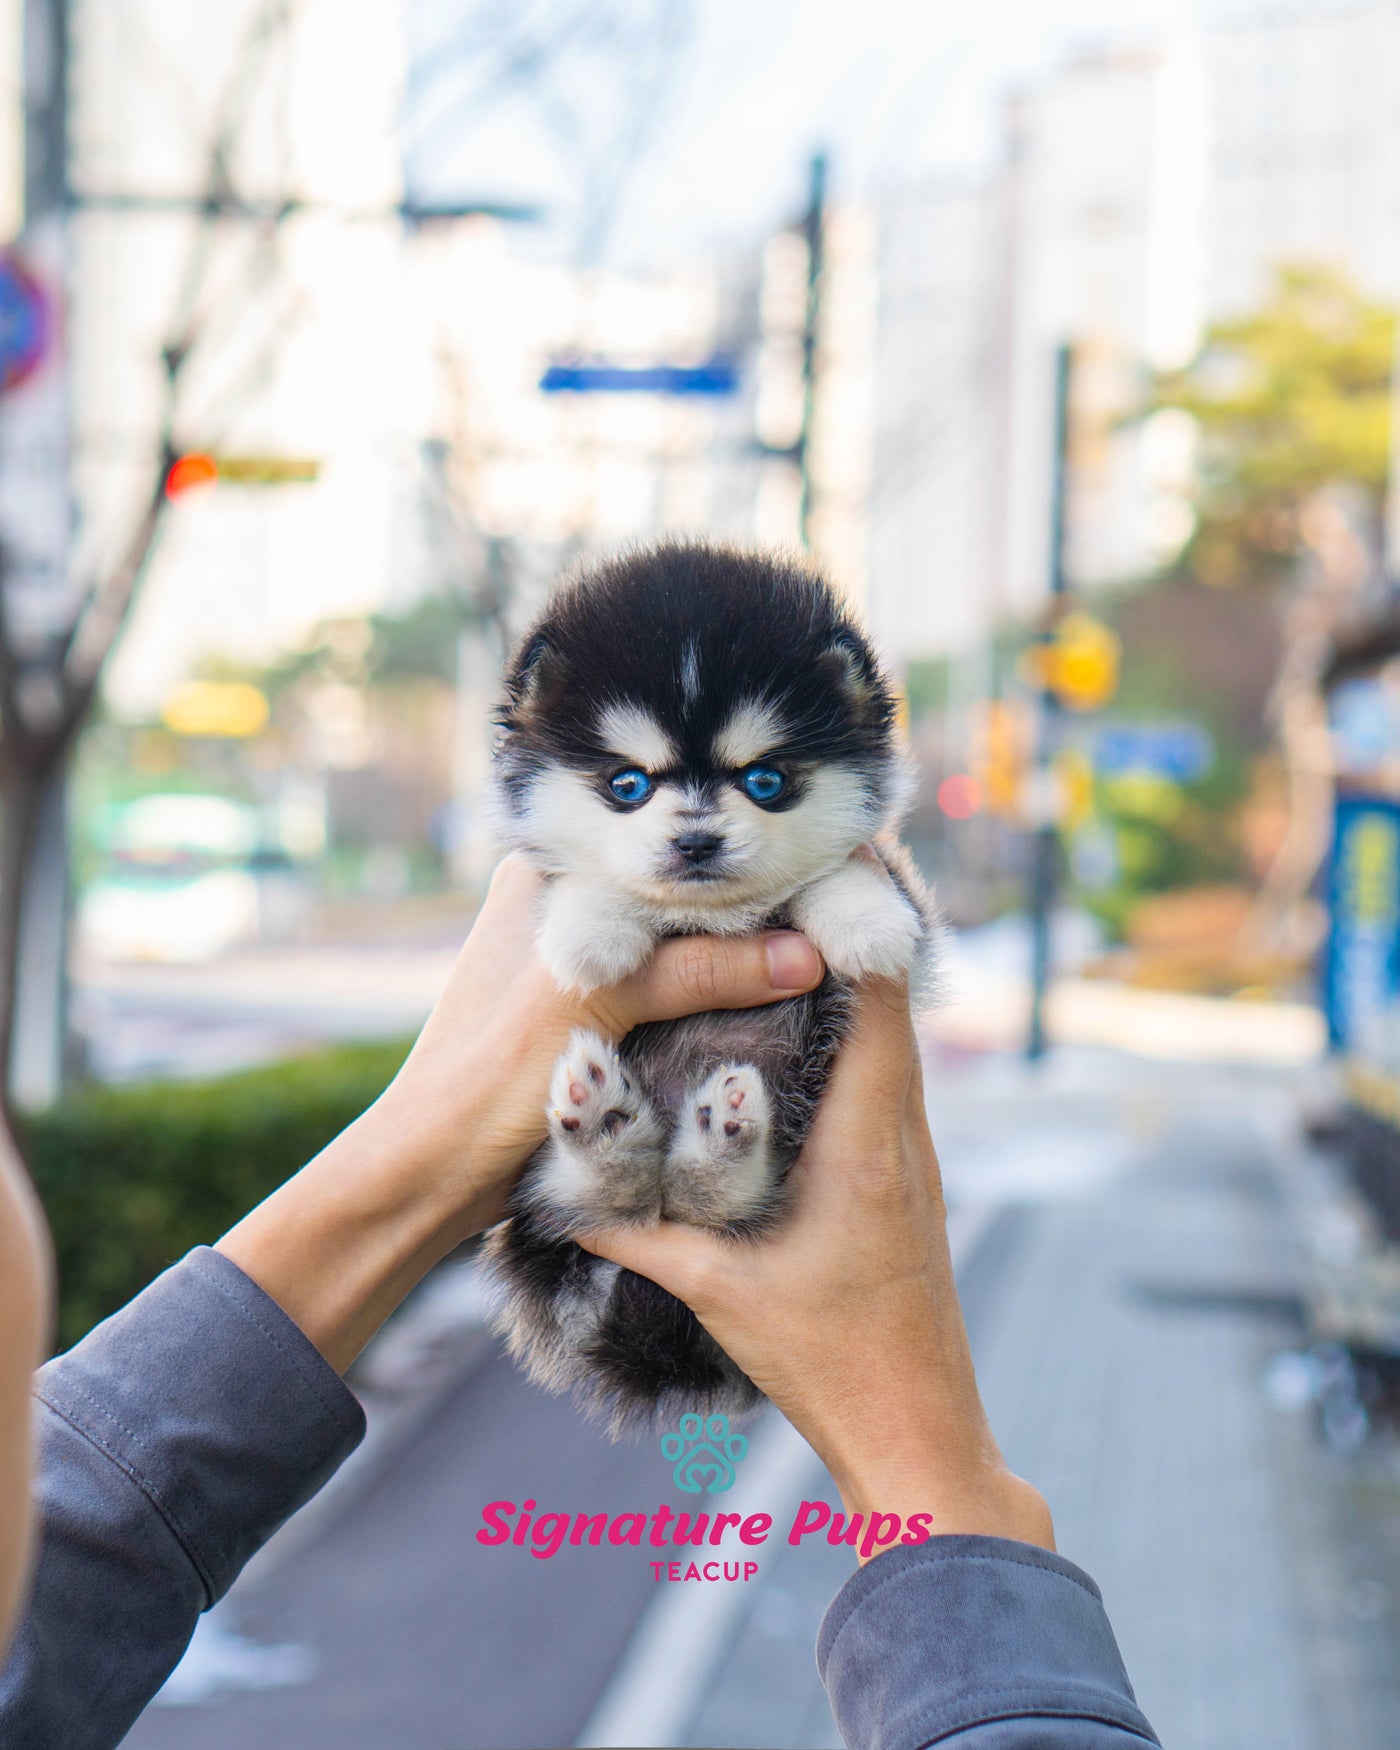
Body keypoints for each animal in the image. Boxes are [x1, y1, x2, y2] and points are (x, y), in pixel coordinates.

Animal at [479, 539, 931, 1428]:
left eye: (765, 781)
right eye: (626, 784)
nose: (695, 842)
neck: (713, 921)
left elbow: (849, 875)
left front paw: (866, 921)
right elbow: (583, 880)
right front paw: (593, 928)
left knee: (707, 1207)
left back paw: (717, 1141)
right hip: (539, 1216)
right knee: (592, 1200)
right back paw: (610, 1131)